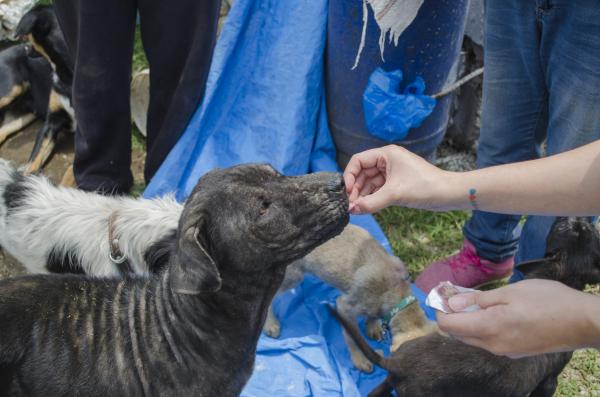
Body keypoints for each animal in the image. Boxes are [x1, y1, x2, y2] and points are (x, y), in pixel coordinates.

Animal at [330, 217, 600, 396]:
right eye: (572, 229)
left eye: (589, 232)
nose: (578, 217)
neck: (560, 278)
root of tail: (398, 363)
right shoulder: (549, 380)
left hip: (391, 382)